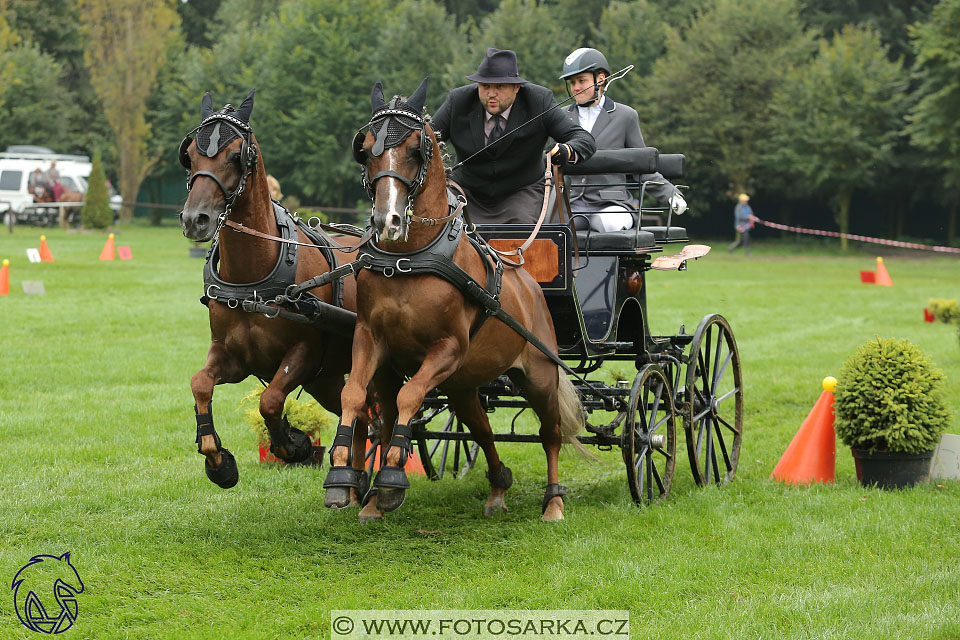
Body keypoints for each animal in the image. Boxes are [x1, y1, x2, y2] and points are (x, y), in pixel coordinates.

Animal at [181, 89, 372, 504]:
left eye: (236, 155)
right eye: (190, 154)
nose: (195, 219)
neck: (253, 276)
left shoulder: (303, 354)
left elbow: (270, 401)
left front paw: (293, 444)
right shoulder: (233, 356)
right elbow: (200, 383)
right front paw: (219, 464)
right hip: (326, 379)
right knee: (364, 415)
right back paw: (353, 482)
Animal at [328, 79, 584, 520]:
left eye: (415, 149)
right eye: (365, 148)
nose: (386, 221)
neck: (408, 259)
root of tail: (526, 275)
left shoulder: (447, 348)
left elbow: (409, 397)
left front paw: (391, 479)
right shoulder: (371, 342)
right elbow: (361, 400)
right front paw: (350, 482)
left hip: (538, 374)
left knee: (549, 433)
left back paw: (553, 502)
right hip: (464, 387)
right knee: (482, 430)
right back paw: (499, 487)